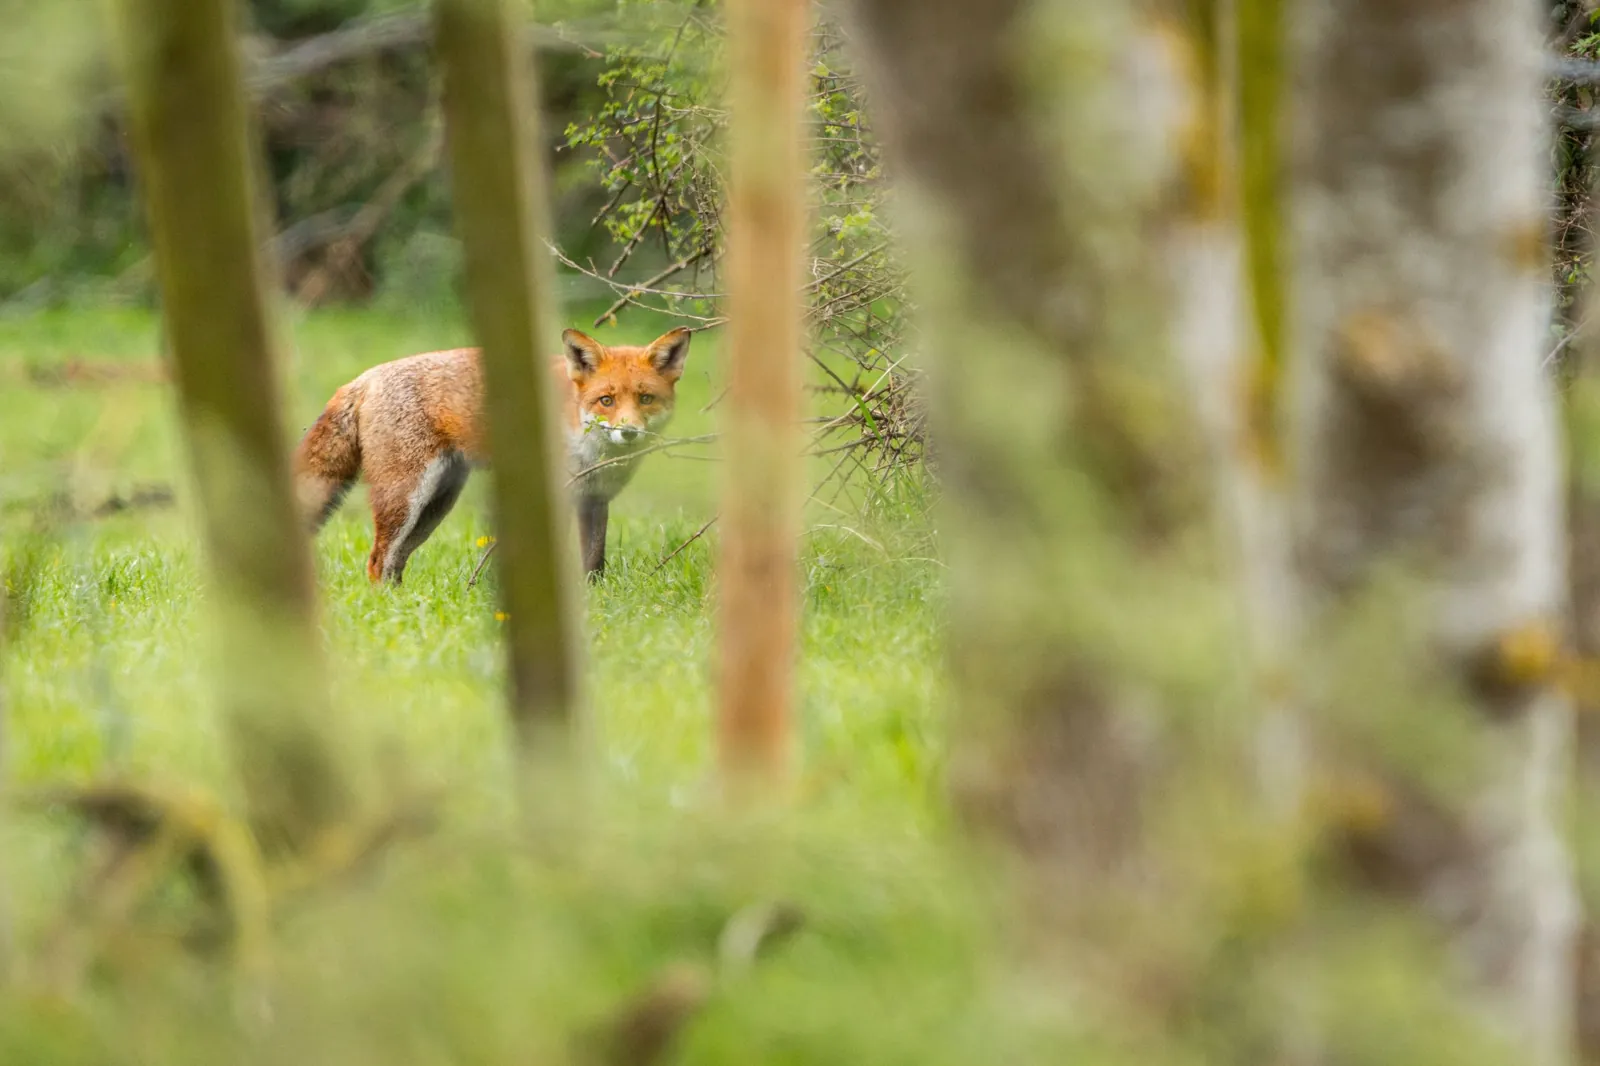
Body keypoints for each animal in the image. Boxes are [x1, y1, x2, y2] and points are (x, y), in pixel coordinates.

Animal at [292, 325, 693, 585]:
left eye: (645, 398)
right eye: (606, 401)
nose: (629, 432)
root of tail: (363, 378)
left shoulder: (593, 498)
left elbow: (594, 564)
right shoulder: (553, 496)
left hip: (434, 506)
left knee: (394, 562)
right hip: (406, 499)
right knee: (377, 561)